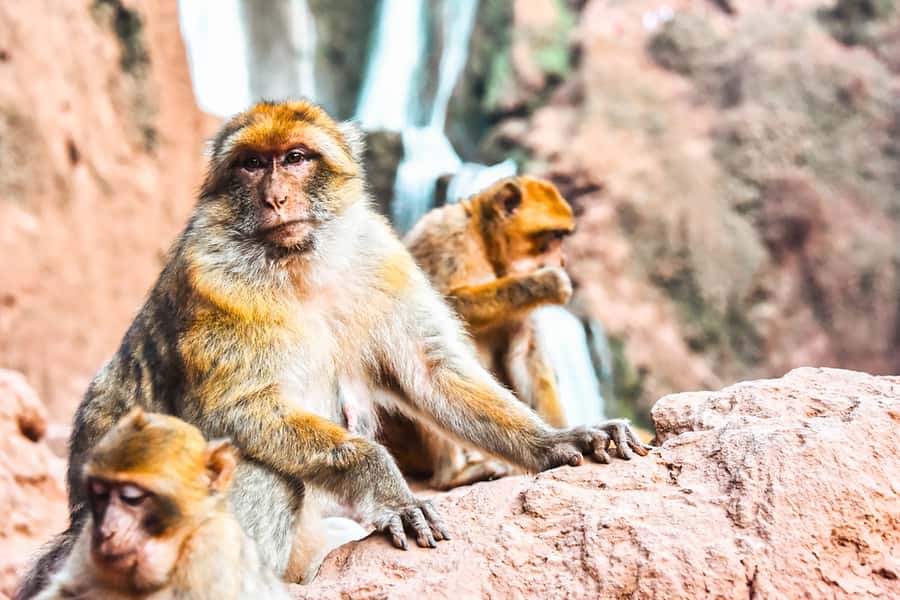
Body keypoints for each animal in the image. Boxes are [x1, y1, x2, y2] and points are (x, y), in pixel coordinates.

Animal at [379, 176, 579, 489]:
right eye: (554, 237)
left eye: (562, 237)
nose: (562, 261)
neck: (485, 244)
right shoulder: (447, 235)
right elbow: (436, 307)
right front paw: (546, 282)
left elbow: (526, 354)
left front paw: (560, 437)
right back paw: (453, 475)